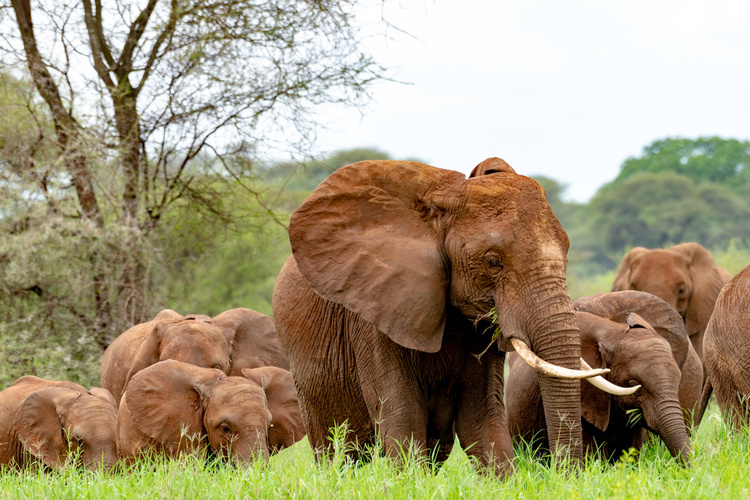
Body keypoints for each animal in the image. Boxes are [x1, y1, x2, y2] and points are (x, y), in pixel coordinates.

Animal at [272, 157, 628, 476]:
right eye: (493, 262)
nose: (567, 476)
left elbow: (481, 419)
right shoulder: (375, 312)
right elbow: (402, 416)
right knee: (339, 448)